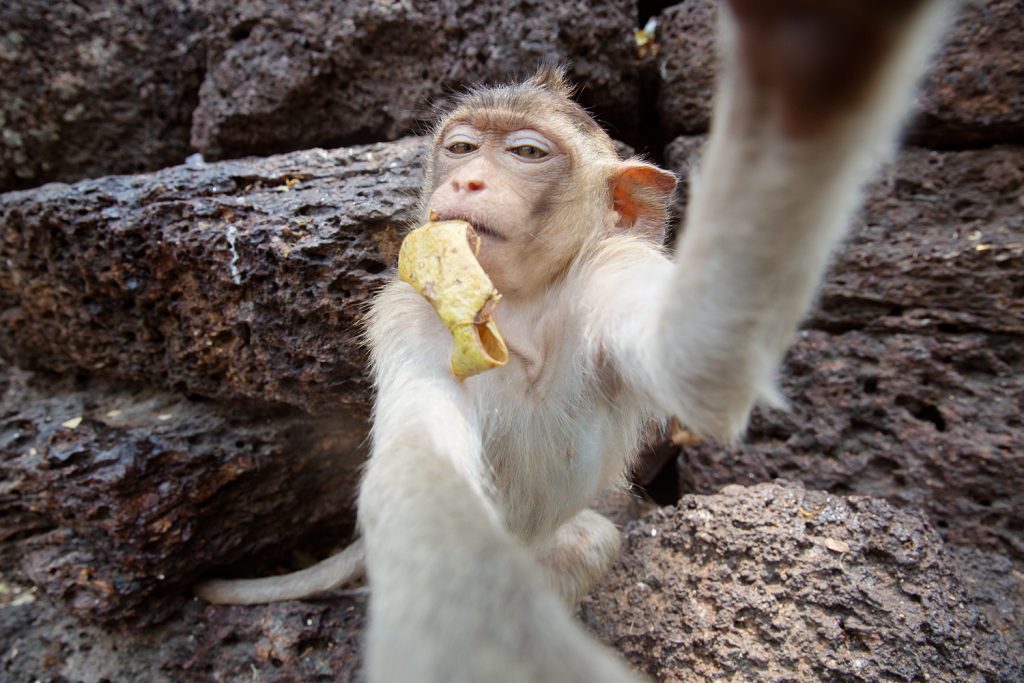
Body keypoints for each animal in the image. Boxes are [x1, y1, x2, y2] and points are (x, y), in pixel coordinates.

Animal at [197, 2, 950, 679]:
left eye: (526, 153)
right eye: (461, 147)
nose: (467, 179)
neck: (518, 306)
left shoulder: (611, 270)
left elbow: (699, 364)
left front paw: (809, 73)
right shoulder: (408, 310)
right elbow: (420, 468)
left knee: (584, 544)